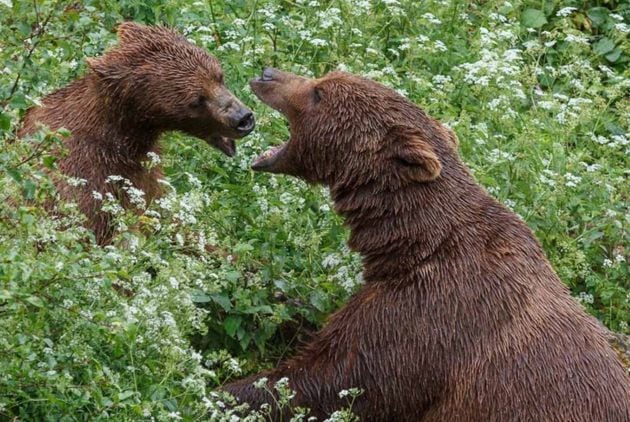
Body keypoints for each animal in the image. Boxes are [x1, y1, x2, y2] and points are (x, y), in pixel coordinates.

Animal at [223, 67, 630, 420]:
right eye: (325, 76)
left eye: (319, 92)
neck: (415, 243)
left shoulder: (434, 314)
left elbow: (335, 376)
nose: (267, 73)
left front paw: (230, 391)